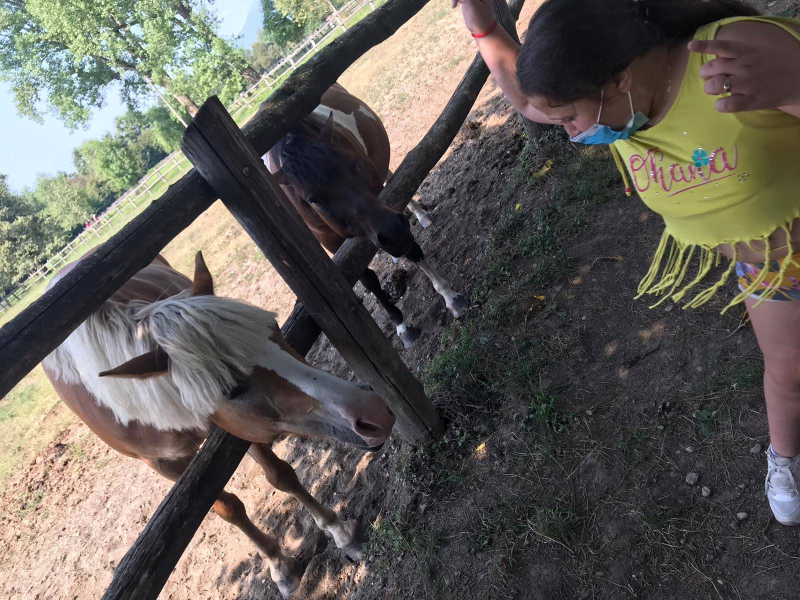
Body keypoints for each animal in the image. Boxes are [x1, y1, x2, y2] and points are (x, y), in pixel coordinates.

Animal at [41, 251, 396, 598]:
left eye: (274, 328)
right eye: (232, 390)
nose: (375, 412)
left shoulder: (230, 428)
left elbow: (281, 475)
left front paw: (341, 532)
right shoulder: (165, 463)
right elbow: (228, 508)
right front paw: (280, 567)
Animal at [263, 83, 467, 349]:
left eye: (352, 164)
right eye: (313, 199)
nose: (393, 234)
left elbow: (413, 251)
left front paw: (449, 296)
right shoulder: (333, 245)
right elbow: (370, 281)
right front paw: (402, 327)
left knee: (393, 176)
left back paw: (420, 215)